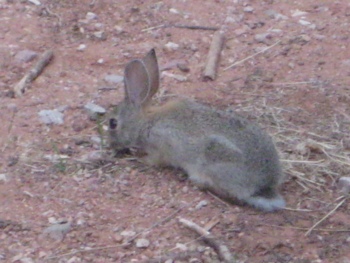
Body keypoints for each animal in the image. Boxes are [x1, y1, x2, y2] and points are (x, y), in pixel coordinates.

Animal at [108, 48, 286, 211]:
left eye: (113, 123)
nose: (109, 144)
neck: (144, 122)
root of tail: (264, 185)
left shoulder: (160, 147)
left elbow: (155, 160)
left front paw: (141, 160)